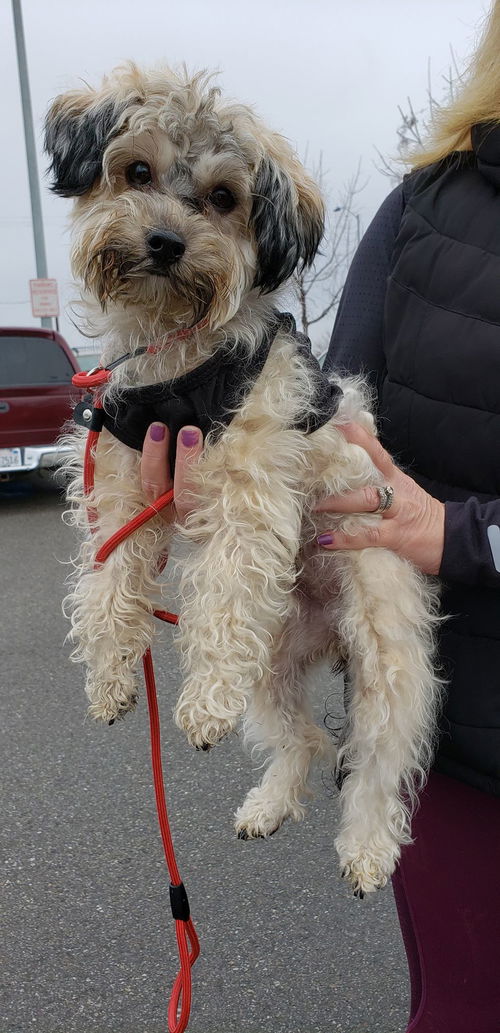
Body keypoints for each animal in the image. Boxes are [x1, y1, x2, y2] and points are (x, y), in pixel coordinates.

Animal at [44, 64, 440, 896]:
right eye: (136, 172)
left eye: (225, 197)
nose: (165, 242)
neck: (177, 356)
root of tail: (329, 634)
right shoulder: (123, 480)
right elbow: (108, 583)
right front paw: (111, 676)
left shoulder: (250, 482)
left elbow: (225, 587)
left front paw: (201, 705)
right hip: (277, 663)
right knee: (304, 741)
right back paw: (268, 803)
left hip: (387, 662)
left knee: (374, 767)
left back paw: (365, 848)